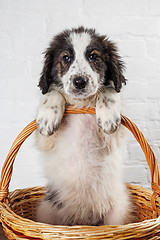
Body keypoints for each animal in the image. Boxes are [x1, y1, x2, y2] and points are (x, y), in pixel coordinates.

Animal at [36, 27, 134, 226]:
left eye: (93, 56)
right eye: (66, 58)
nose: (79, 82)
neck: (81, 104)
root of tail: (83, 221)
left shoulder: (114, 137)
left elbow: (109, 89)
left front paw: (107, 115)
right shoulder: (45, 141)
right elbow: (53, 92)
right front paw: (48, 116)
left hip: (119, 209)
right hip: (47, 210)